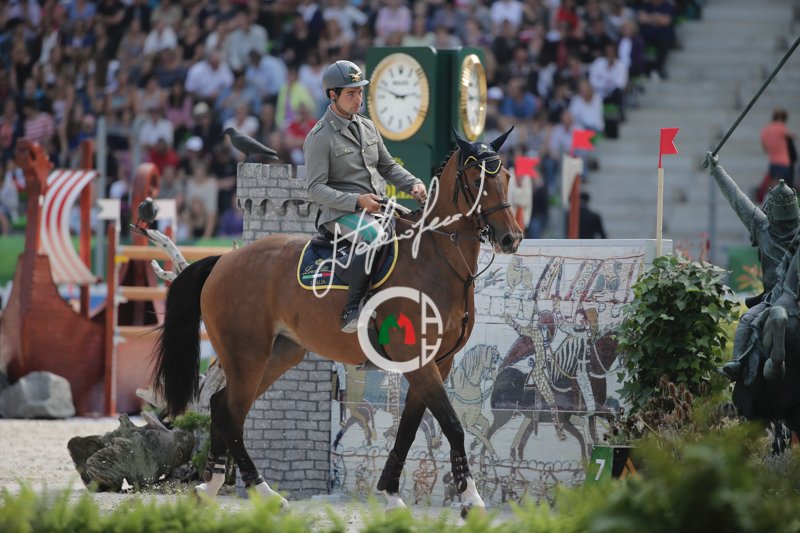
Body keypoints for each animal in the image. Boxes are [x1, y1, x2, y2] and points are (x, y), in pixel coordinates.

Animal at [152, 128, 523, 514]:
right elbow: (452, 424)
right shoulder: (419, 361)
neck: (434, 259)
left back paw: (210, 486)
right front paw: (471, 497)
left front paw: (392, 493)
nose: (511, 238)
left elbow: (408, 429)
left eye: (507, 178)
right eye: (478, 180)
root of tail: (224, 261)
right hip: (247, 357)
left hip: (278, 355)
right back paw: (263, 492)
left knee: (222, 407)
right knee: (230, 413)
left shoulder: (439, 363)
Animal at [485, 329, 619, 460]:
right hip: (503, 414)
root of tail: (498, 378)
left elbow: (602, 420)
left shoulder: (591, 409)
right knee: (489, 434)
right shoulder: (570, 416)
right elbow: (584, 431)